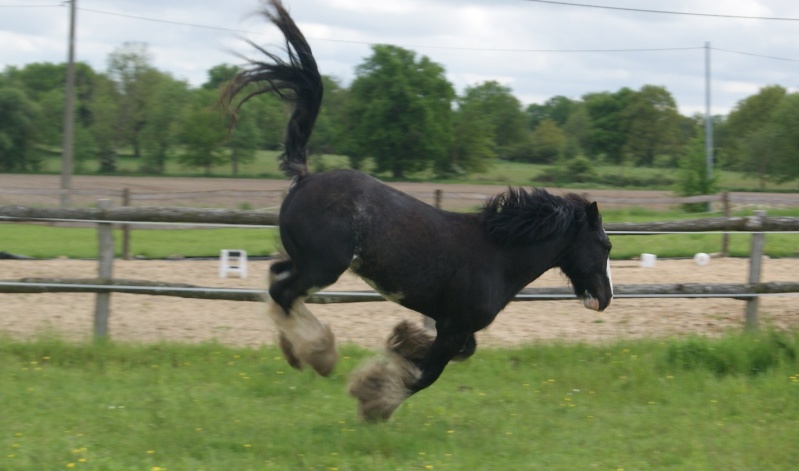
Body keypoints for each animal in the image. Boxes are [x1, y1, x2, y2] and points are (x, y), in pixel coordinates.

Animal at [225, 0, 612, 420]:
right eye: (605, 247)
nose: (606, 297)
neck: (497, 255)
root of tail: (304, 177)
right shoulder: (454, 326)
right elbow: (426, 376)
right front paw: (372, 398)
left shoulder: (453, 327)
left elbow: (452, 354)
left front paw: (402, 342)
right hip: (323, 267)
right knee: (283, 291)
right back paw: (318, 354)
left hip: (306, 261)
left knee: (278, 280)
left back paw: (299, 351)